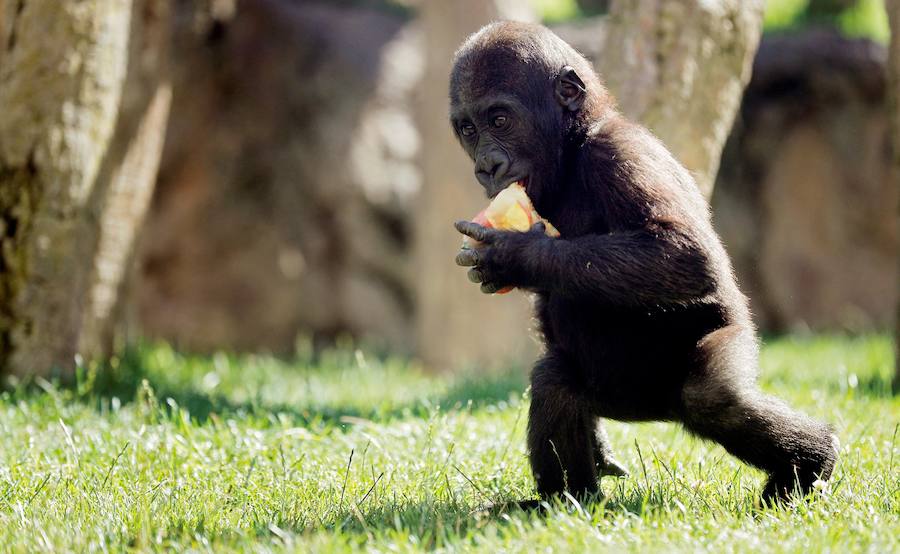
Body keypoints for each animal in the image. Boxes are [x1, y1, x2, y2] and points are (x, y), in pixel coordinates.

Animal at [450, 21, 836, 502]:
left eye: (499, 121)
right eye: (468, 129)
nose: (486, 167)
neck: (573, 148)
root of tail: (657, 414)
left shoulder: (620, 154)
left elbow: (684, 253)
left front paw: (515, 256)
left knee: (712, 399)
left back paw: (810, 464)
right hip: (613, 397)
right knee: (557, 381)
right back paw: (566, 501)